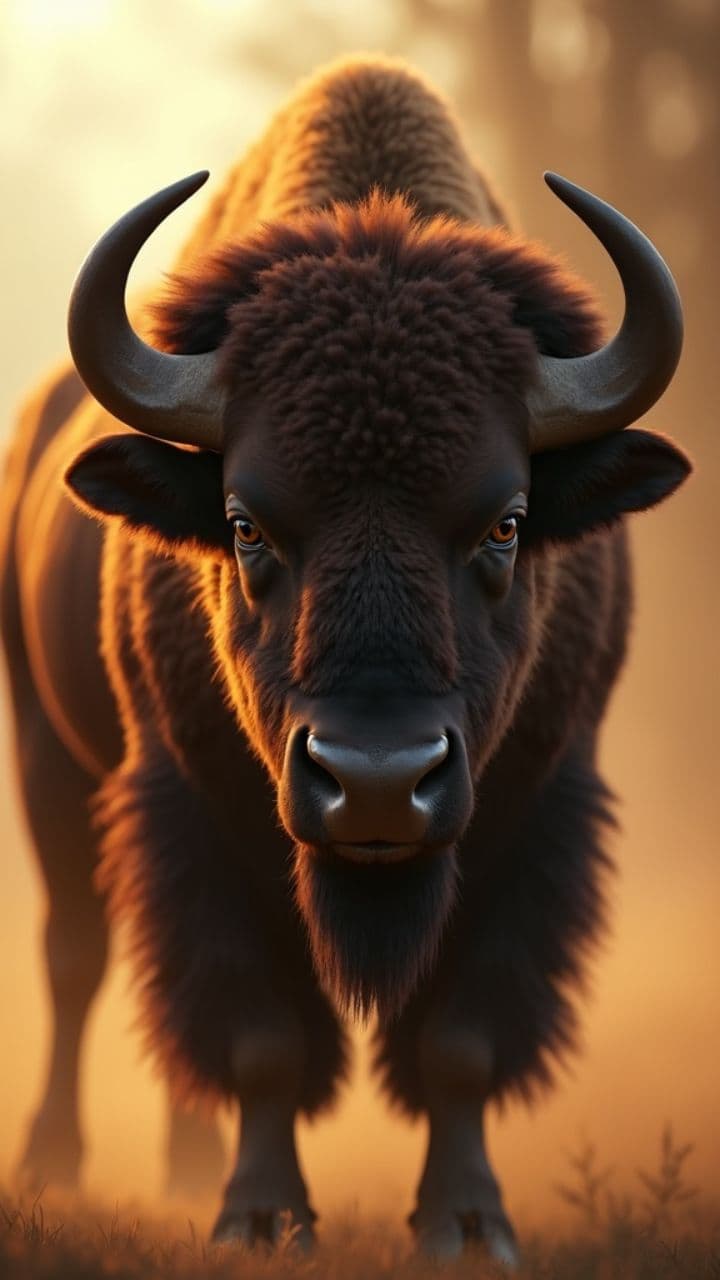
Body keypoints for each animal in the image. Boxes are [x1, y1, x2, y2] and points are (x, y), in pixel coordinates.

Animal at [0, 57, 689, 1262]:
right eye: (244, 525)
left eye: (507, 523)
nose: (375, 782)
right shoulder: (195, 805)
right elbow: (261, 1034)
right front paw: (259, 1218)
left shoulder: (535, 808)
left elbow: (460, 1038)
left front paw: (467, 1223)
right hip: (47, 755)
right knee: (76, 952)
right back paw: (57, 1161)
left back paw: (183, 1164)